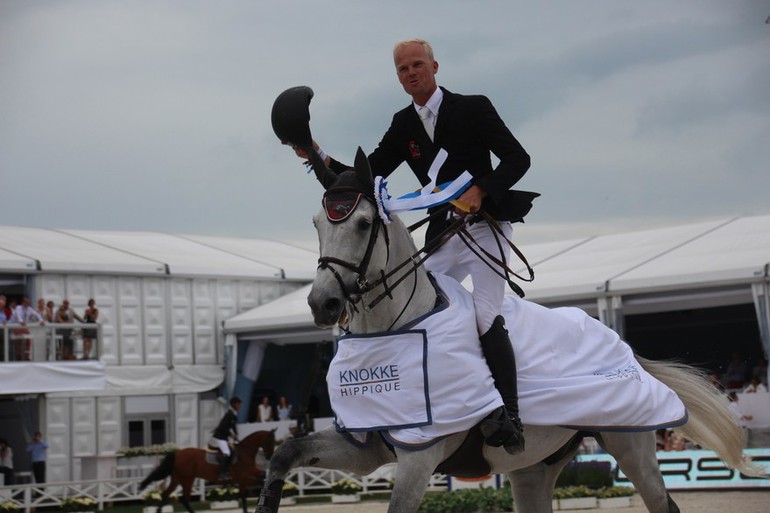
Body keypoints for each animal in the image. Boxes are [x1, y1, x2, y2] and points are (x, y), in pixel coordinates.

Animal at [140, 428, 274, 512]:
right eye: (270, 441)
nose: (270, 456)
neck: (245, 452)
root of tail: (177, 453)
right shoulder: (244, 478)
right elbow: (250, 491)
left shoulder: (246, 477)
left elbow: (255, 485)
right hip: (187, 480)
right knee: (184, 499)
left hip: (177, 479)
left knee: (166, 495)